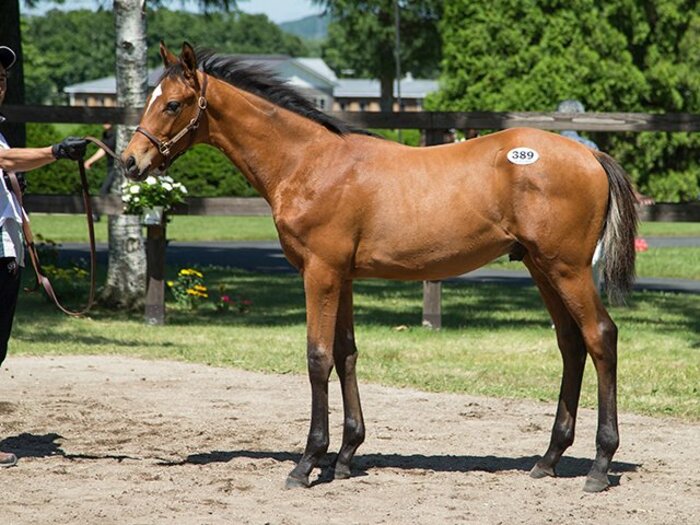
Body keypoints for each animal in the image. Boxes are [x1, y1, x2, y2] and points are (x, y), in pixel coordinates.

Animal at [123, 42, 638, 493]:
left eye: (172, 104)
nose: (130, 161)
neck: (309, 163)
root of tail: (590, 154)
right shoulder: (343, 277)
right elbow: (346, 353)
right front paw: (345, 456)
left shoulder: (319, 273)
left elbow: (317, 358)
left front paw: (307, 463)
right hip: (540, 266)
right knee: (571, 345)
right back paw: (548, 459)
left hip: (566, 268)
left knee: (600, 337)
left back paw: (599, 465)